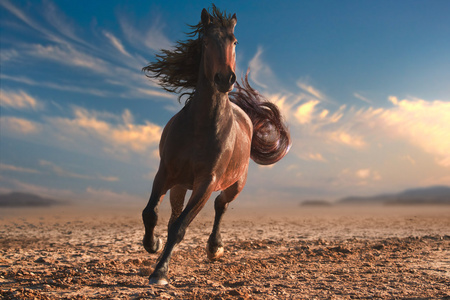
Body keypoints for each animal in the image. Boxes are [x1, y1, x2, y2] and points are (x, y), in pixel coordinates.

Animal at [142, 5, 292, 284]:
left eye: (234, 41)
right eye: (206, 41)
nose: (225, 78)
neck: (200, 126)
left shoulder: (207, 182)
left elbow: (180, 227)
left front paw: (160, 272)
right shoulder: (165, 172)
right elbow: (152, 213)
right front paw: (153, 244)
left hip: (236, 183)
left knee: (220, 205)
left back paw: (215, 248)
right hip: (180, 184)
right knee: (175, 213)